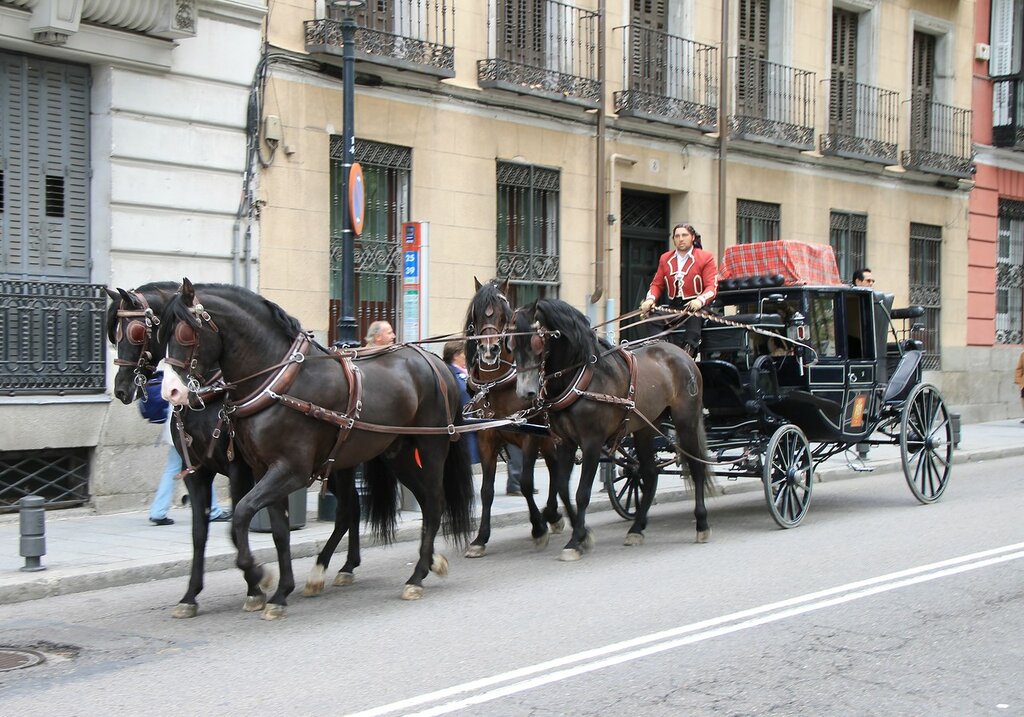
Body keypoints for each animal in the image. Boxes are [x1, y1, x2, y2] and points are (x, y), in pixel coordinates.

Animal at [107, 282, 360, 618]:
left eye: (137, 332)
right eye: (115, 333)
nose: (121, 388)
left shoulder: (239, 469)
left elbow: (235, 524)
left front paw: (256, 584)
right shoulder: (197, 471)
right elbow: (199, 533)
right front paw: (190, 595)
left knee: (348, 508)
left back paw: (330, 569)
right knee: (354, 506)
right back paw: (347, 566)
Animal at [159, 280, 475, 614]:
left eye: (185, 333)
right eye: (160, 333)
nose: (171, 391)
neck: (278, 383)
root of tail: (436, 362)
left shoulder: (290, 471)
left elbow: (242, 513)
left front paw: (259, 576)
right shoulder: (261, 469)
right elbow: (278, 530)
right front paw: (280, 592)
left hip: (430, 447)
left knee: (433, 503)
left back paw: (415, 576)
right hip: (397, 454)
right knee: (419, 504)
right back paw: (421, 564)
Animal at [464, 276, 577, 557]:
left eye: (505, 315)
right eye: (477, 313)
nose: (489, 350)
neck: (497, 385)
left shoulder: (529, 436)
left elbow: (526, 482)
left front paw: (538, 528)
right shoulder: (486, 437)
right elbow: (486, 490)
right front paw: (480, 538)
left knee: (557, 471)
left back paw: (551, 515)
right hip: (549, 438)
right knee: (555, 468)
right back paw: (553, 514)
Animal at [509, 297, 712, 561]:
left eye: (536, 341)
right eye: (511, 344)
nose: (525, 393)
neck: (581, 377)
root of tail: (682, 355)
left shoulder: (592, 443)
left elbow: (582, 493)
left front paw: (575, 540)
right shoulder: (565, 442)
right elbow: (563, 488)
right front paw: (582, 534)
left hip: (686, 420)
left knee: (697, 467)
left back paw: (702, 523)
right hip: (646, 426)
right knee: (649, 473)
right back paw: (636, 528)